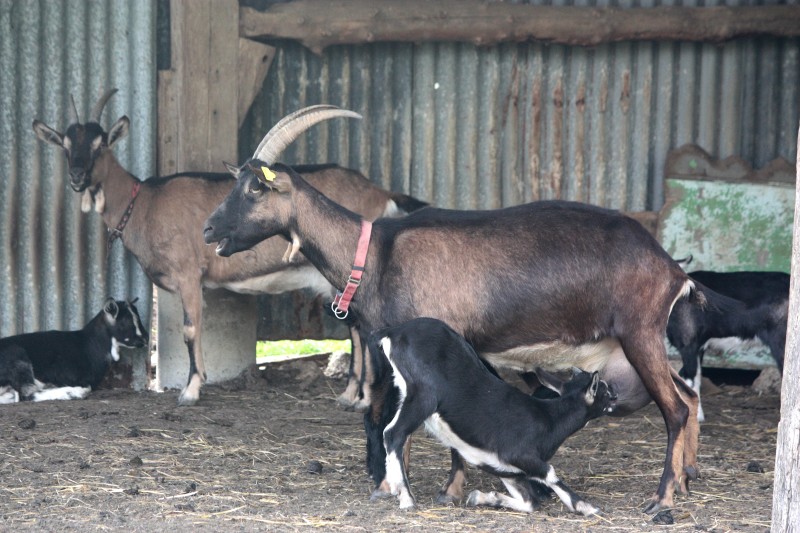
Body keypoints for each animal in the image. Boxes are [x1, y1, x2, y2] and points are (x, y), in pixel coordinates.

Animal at [0, 298, 147, 403]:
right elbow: (88, 386)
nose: (145, 339)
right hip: (17, 358)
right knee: (28, 394)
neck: (88, 344)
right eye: (126, 322)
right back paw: (74, 393)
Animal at [33, 92, 425, 407]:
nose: (77, 177)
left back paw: (358, 397)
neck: (143, 202)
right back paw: (350, 395)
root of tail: (380, 193)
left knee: (359, 331)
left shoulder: (189, 275)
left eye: (100, 145)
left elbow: (191, 330)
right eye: (65, 145)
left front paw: (190, 391)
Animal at [372, 317, 615, 514]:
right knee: (393, 432)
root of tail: (395, 331)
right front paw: (586, 507)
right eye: (603, 390)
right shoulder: (519, 453)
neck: (549, 418)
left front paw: (481, 497)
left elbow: (530, 503)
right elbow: (550, 473)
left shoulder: (504, 468)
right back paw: (406, 497)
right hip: (424, 395)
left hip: (406, 393)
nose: (616, 395)